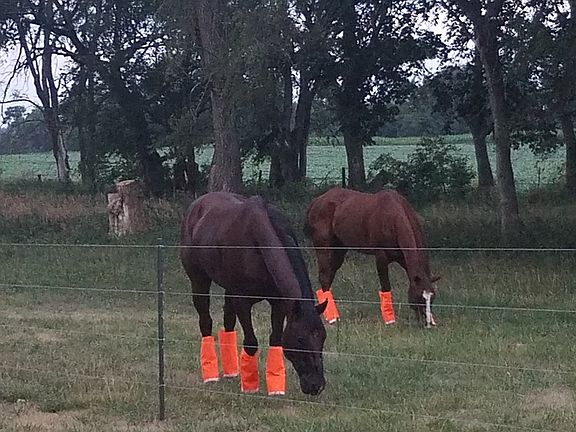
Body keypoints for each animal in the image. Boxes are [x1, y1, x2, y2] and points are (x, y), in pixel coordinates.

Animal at [180, 192, 328, 396]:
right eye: (300, 338)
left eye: (323, 337)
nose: (316, 386)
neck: (258, 243)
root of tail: (197, 204)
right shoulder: (243, 301)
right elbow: (251, 343)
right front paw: (250, 384)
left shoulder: (279, 303)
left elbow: (275, 339)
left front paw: (275, 384)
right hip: (198, 280)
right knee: (205, 322)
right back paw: (211, 375)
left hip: (229, 289)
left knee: (228, 323)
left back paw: (232, 372)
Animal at [304, 187, 439, 328]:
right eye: (419, 297)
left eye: (432, 298)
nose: (427, 323)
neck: (392, 218)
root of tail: (317, 200)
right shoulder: (381, 258)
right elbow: (386, 287)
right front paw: (390, 320)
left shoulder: (405, 261)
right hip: (323, 247)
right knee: (324, 276)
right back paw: (331, 318)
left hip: (339, 249)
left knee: (329, 276)